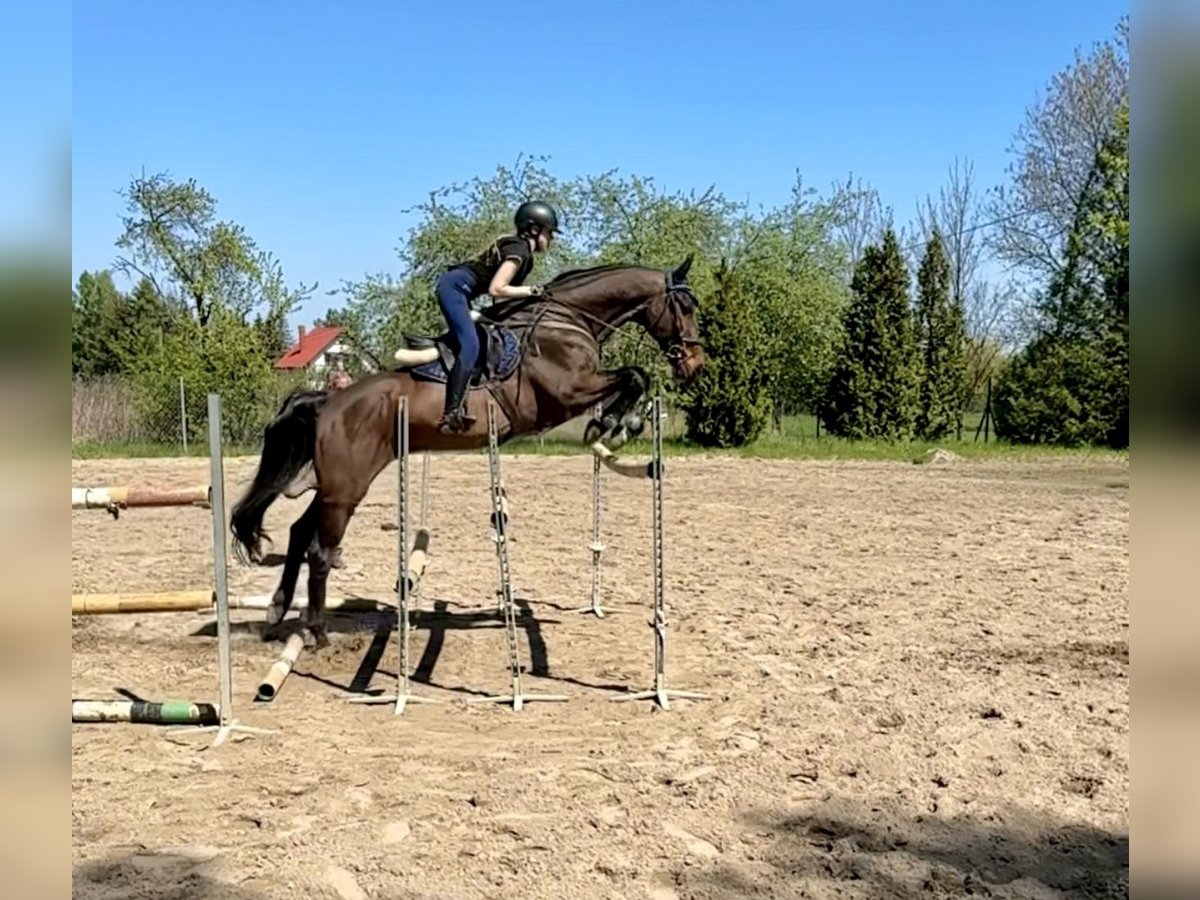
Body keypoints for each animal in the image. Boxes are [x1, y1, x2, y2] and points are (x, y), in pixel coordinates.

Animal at [229, 254, 705, 648]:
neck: (567, 320)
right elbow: (635, 374)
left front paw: (619, 424)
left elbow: (634, 376)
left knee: (298, 534)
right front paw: (615, 426)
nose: (694, 364)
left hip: (334, 488)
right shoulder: (568, 393)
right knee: (318, 551)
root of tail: (328, 400)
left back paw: (277, 612)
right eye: (686, 307)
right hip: (346, 489)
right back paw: (316, 632)